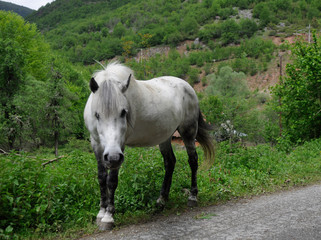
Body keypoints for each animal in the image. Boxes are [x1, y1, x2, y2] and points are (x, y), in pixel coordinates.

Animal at [83, 62, 212, 231]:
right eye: (97, 114)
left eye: (123, 112)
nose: (112, 157)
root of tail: (187, 86)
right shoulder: (96, 143)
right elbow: (101, 177)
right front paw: (101, 213)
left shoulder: (120, 146)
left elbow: (112, 180)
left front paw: (108, 217)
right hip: (165, 137)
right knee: (170, 163)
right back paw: (161, 201)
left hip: (188, 132)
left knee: (193, 161)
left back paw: (192, 197)